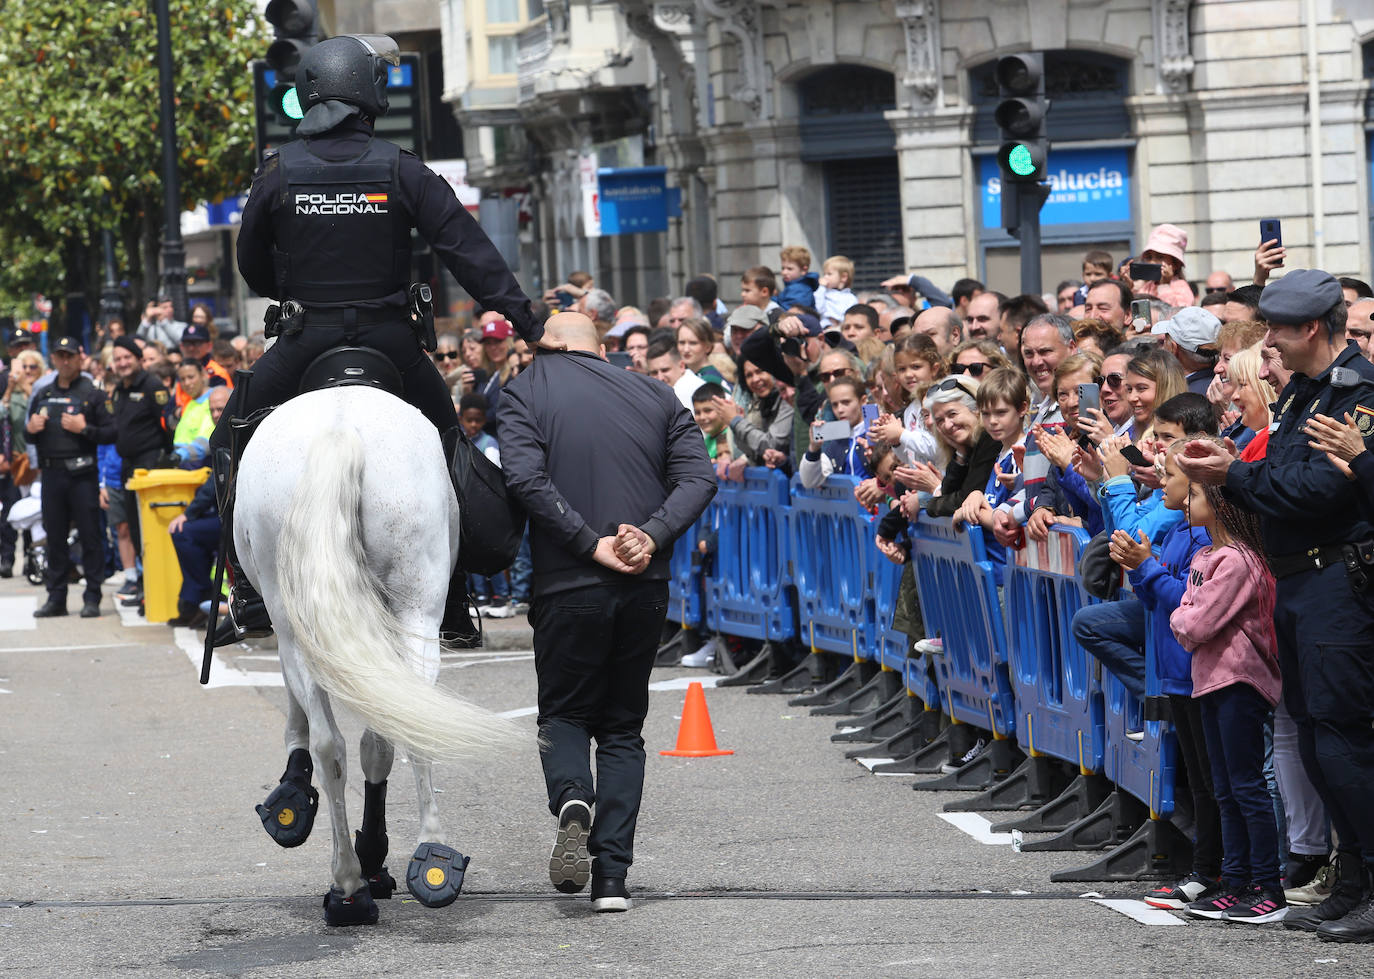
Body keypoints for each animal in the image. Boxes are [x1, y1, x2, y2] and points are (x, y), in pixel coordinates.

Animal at [233, 384, 516, 922]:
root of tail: (340, 429)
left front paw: (294, 792)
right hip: (414, 612)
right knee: (396, 726)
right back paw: (425, 857)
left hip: (302, 621)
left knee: (336, 742)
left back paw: (350, 880)